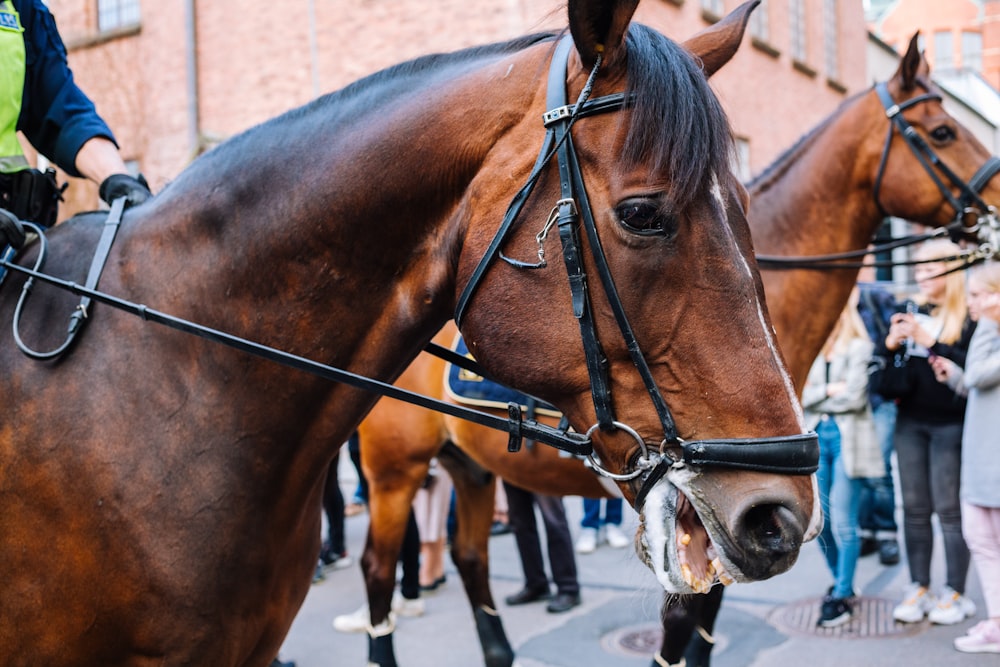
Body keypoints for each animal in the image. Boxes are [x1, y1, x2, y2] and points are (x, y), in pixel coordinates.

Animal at [356, 31, 1000, 667]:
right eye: (943, 132)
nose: (997, 205)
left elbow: (704, 626)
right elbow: (681, 625)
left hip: (467, 467)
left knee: (469, 557)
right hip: (394, 472)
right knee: (377, 569)